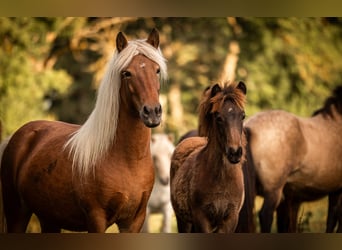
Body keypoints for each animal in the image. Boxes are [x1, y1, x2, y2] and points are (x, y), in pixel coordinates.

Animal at [0, 28, 168, 232]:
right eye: (127, 73)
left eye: (157, 70)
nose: (152, 112)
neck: (127, 160)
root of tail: (18, 136)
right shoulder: (96, 219)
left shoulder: (134, 222)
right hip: (17, 213)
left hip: (49, 220)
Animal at [170, 82, 246, 232]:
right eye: (219, 118)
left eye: (243, 116)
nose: (235, 152)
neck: (221, 179)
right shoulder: (202, 218)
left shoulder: (231, 218)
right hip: (183, 220)